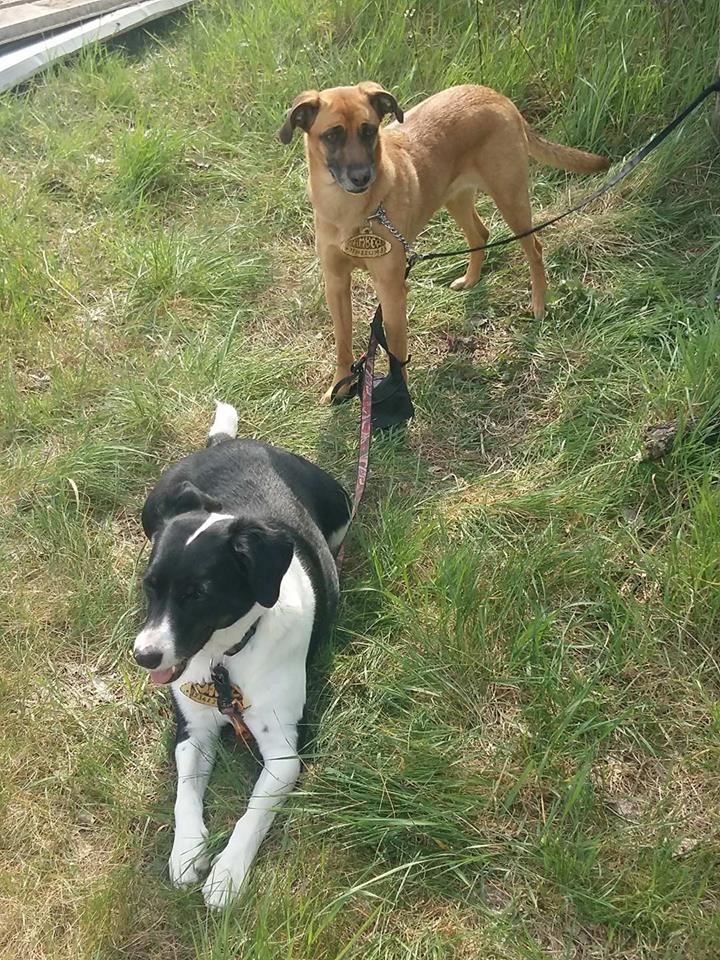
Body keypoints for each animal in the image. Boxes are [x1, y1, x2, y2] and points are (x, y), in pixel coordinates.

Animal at [134, 404, 352, 908]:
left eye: (198, 593)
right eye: (149, 586)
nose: (144, 655)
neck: (225, 662)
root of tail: (229, 443)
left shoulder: (283, 752)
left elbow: (252, 815)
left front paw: (228, 873)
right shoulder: (192, 731)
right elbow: (185, 794)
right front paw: (187, 850)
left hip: (342, 505)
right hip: (152, 505)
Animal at [278, 78, 608, 402]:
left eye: (369, 130)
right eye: (332, 135)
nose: (362, 177)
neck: (351, 211)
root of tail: (496, 96)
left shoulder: (391, 290)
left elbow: (397, 351)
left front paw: (399, 394)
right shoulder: (336, 283)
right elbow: (342, 341)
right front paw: (341, 383)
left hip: (510, 198)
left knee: (534, 248)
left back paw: (538, 304)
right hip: (456, 198)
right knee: (480, 234)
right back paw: (471, 279)